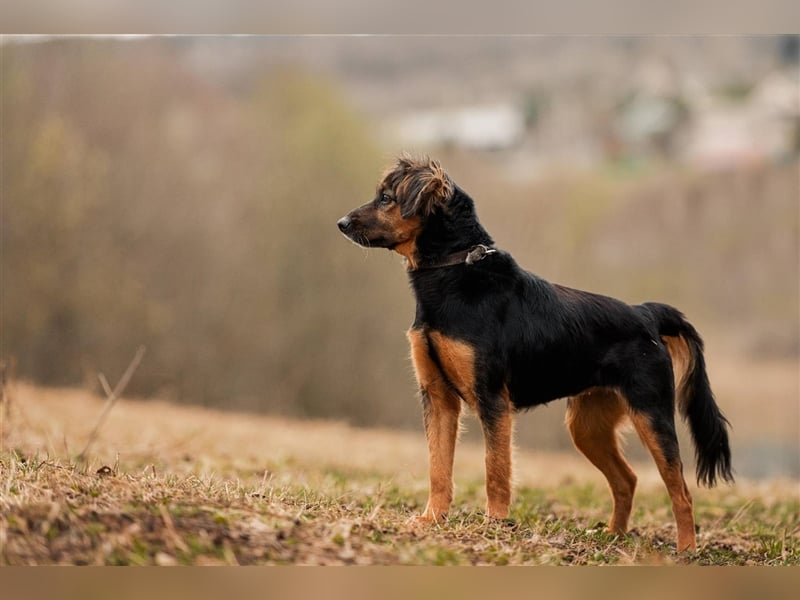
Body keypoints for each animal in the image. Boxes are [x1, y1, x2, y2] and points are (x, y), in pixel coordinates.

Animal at [334, 156, 736, 552]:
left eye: (386, 197)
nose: (341, 224)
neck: (455, 269)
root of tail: (645, 315)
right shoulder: (438, 398)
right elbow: (438, 468)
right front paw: (432, 519)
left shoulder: (492, 400)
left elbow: (495, 469)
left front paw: (494, 525)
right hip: (587, 426)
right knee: (628, 479)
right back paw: (612, 536)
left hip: (651, 416)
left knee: (681, 491)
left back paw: (686, 550)